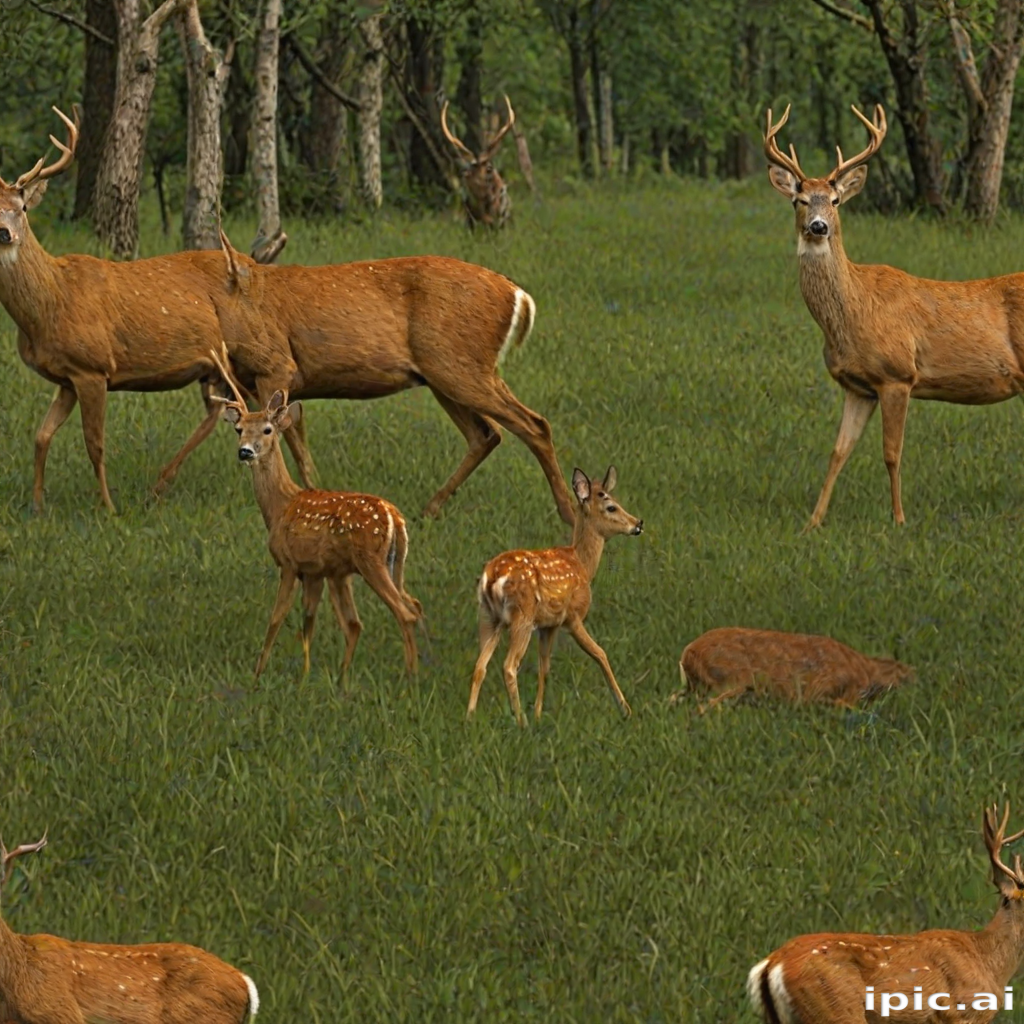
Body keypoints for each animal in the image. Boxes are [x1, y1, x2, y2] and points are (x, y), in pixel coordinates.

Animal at [0, 105, 302, 513]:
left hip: (248, 347)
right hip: (217, 365)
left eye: (22, 207)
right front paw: (36, 506)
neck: (49, 305)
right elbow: (41, 436)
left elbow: (94, 443)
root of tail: (254, 268)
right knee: (231, 409)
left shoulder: (93, 367)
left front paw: (109, 507)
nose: (5, 233)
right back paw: (164, 483)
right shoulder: (66, 377)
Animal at [211, 352, 423, 680]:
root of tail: (394, 519)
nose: (245, 452)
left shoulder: (289, 562)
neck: (280, 506)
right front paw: (306, 675)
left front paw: (258, 673)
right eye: (239, 429)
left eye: (267, 430)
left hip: (370, 560)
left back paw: (409, 676)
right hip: (390, 564)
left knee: (404, 613)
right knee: (411, 603)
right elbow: (311, 623)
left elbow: (277, 618)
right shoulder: (319, 571)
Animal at [214, 230, 576, 526]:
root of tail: (518, 295)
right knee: (487, 434)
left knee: (534, 424)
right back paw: (430, 509)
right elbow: (294, 435)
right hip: (451, 372)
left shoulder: (275, 367)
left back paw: (569, 515)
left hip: (457, 367)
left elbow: (287, 437)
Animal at [466, 466, 642, 727]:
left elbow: (545, 666)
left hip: (488, 616)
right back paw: (521, 721)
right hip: (522, 617)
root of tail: (491, 579)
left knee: (480, 665)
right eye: (611, 506)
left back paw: (470, 717)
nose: (638, 523)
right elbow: (600, 653)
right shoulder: (572, 616)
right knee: (509, 666)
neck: (582, 564)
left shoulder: (548, 625)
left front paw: (539, 714)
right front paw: (625, 709)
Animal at [764, 102, 1024, 530]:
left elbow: (892, 453)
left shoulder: (897, 375)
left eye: (835, 200)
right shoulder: (858, 386)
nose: (818, 227)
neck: (854, 312)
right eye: (798, 200)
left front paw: (899, 519)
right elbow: (838, 451)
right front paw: (813, 522)